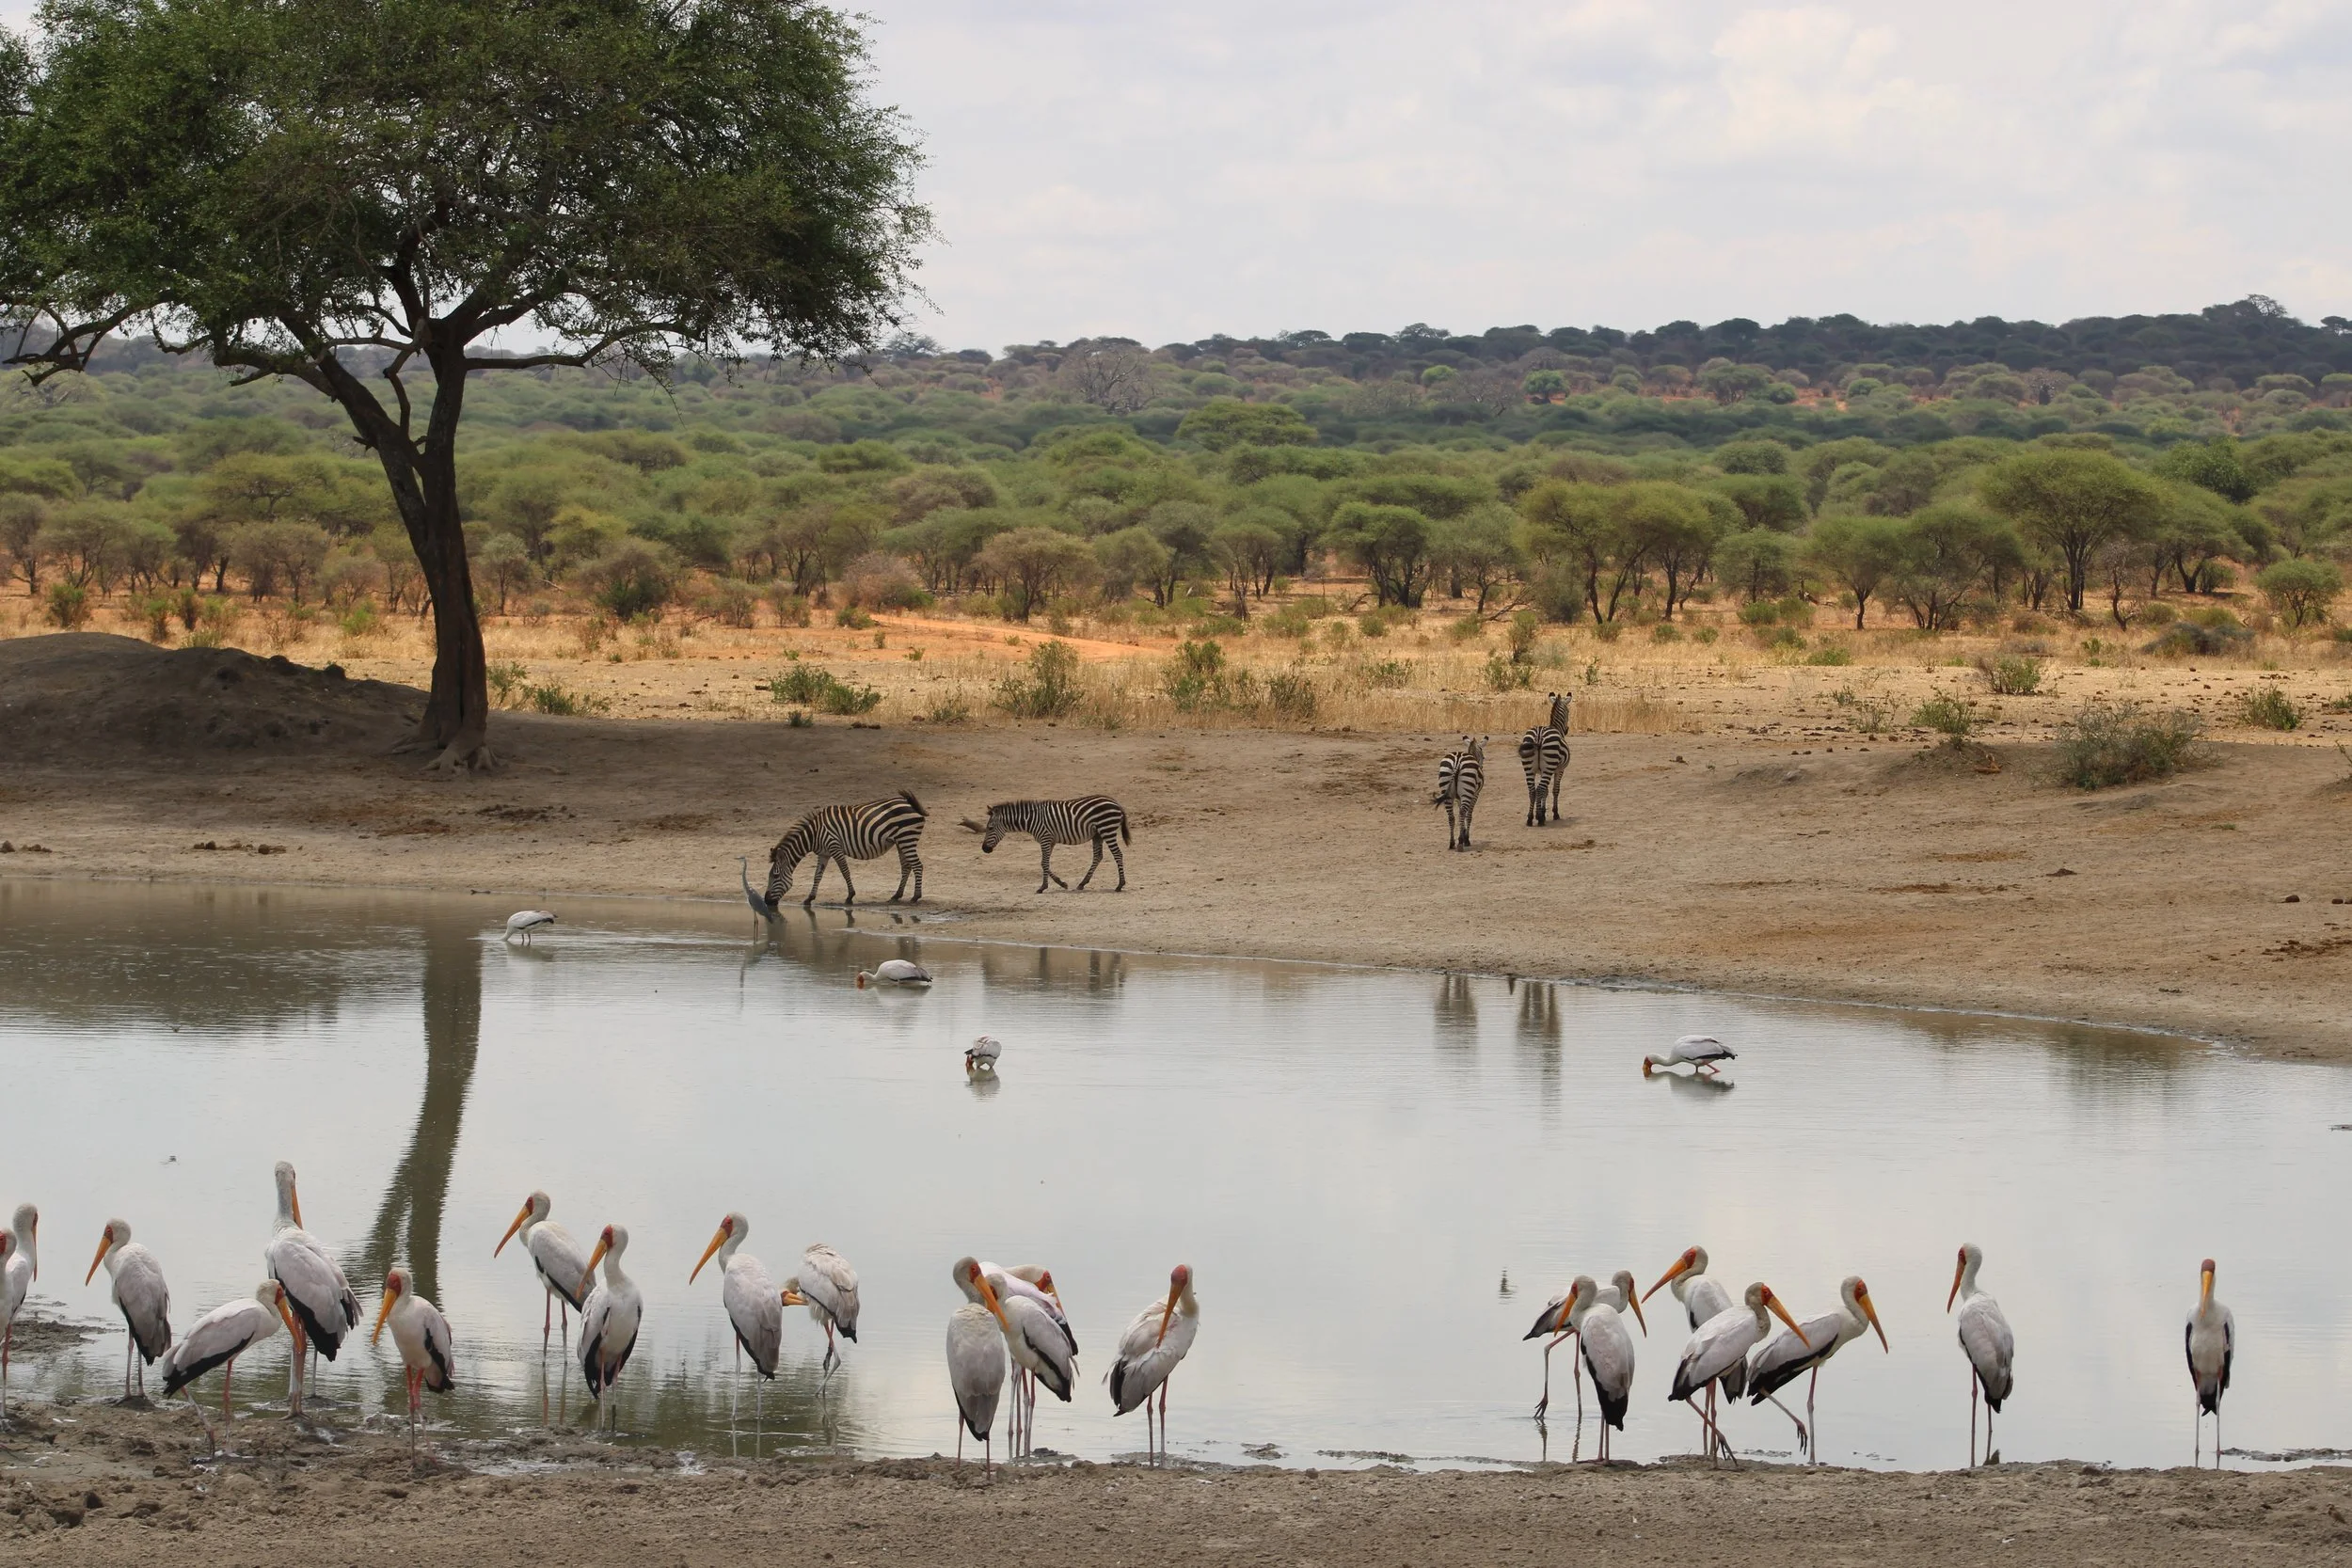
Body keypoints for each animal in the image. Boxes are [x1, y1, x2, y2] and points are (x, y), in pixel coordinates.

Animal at [763, 791, 928, 908]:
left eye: (775, 876)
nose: (766, 901)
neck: (814, 834)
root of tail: (910, 803)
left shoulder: (834, 846)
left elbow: (844, 871)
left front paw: (850, 896)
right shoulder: (823, 854)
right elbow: (817, 876)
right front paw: (809, 898)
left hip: (906, 838)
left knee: (917, 866)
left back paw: (915, 896)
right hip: (901, 841)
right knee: (906, 866)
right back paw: (897, 895)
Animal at [960, 795, 1132, 892]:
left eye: (990, 828)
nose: (984, 849)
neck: (1030, 820)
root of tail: (1116, 803)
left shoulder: (1044, 838)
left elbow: (1043, 863)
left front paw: (1043, 887)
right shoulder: (1050, 840)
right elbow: (1045, 863)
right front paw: (1061, 883)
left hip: (1106, 829)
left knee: (1117, 854)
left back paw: (1120, 885)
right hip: (1098, 834)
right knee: (1098, 856)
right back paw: (1082, 883)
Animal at [1517, 691, 1572, 826]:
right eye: (1568, 712)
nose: (1567, 730)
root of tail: (1539, 735)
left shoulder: (1543, 771)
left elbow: (1546, 791)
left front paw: (1542, 811)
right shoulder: (1559, 770)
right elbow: (1554, 790)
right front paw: (1554, 813)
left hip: (1529, 768)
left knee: (1533, 790)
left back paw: (1530, 818)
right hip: (1548, 766)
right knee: (1540, 789)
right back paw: (1540, 819)